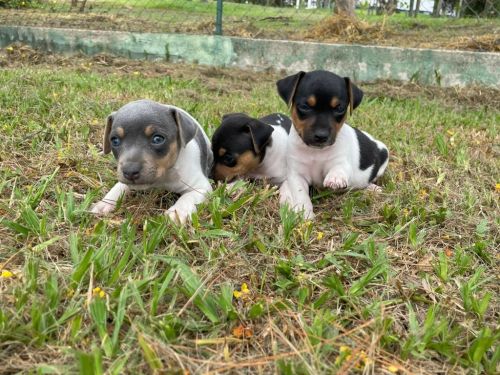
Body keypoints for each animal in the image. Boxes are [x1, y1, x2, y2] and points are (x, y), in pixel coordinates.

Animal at [280, 70, 388, 220]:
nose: (321, 136)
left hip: (384, 156)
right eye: (305, 106)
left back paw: (371, 187)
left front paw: (335, 178)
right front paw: (304, 214)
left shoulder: (343, 162)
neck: (315, 152)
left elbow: (339, 168)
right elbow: (301, 194)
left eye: (339, 108)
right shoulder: (297, 174)